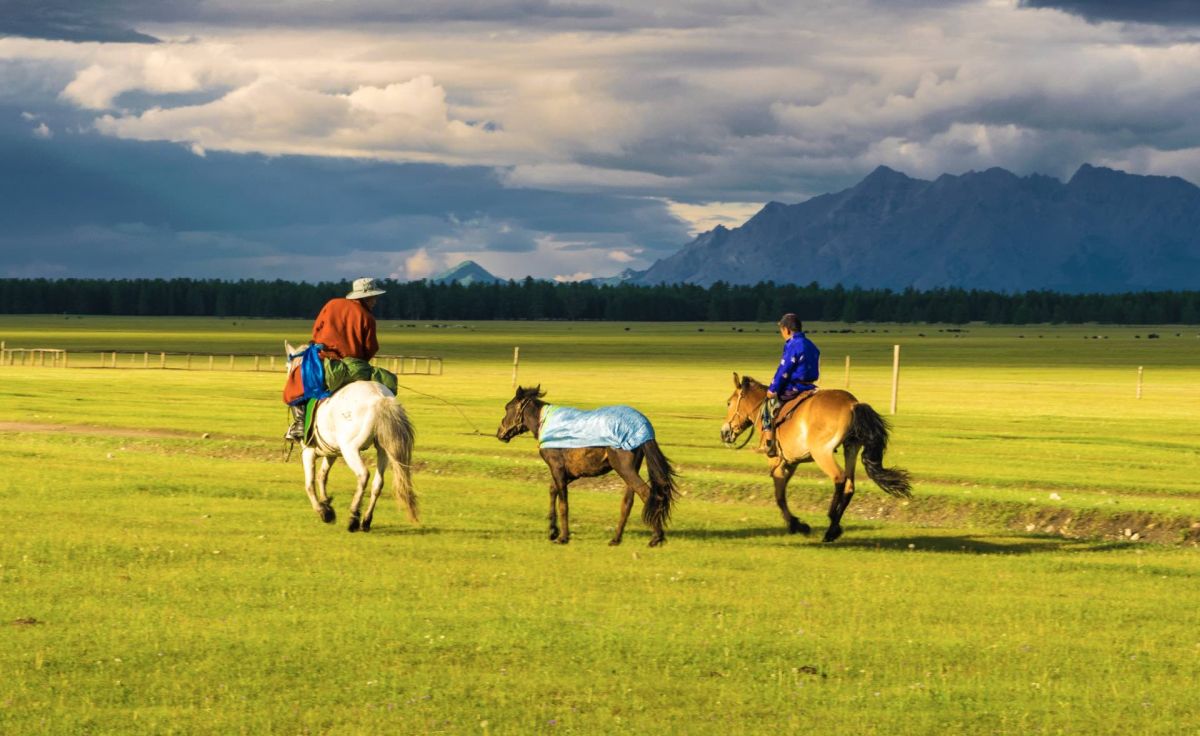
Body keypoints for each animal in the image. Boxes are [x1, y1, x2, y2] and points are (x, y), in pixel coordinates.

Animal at [284, 340, 417, 530]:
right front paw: (327, 503)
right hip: (383, 450)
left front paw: (324, 512)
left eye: (288, 367)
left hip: (350, 449)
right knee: (378, 483)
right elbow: (322, 476)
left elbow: (309, 483)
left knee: (363, 475)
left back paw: (353, 517)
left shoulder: (308, 452)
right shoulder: (331, 452)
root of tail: (380, 399)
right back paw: (366, 520)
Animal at [494, 384, 681, 545]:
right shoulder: (571, 473)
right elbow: (553, 490)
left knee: (647, 493)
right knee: (628, 502)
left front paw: (562, 537)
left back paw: (656, 537)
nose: (499, 433)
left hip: (625, 469)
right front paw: (552, 531)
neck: (545, 423)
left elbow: (563, 503)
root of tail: (644, 428)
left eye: (507, 407)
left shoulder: (558, 469)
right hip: (630, 471)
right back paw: (616, 539)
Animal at [720, 372, 907, 540]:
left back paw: (831, 521)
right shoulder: (791, 463)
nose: (724, 432)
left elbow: (779, 496)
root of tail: (853, 404)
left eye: (729, 403)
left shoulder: (775, 461)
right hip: (851, 448)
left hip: (822, 453)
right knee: (849, 485)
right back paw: (832, 529)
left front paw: (797, 525)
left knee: (839, 478)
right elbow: (782, 492)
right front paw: (796, 524)